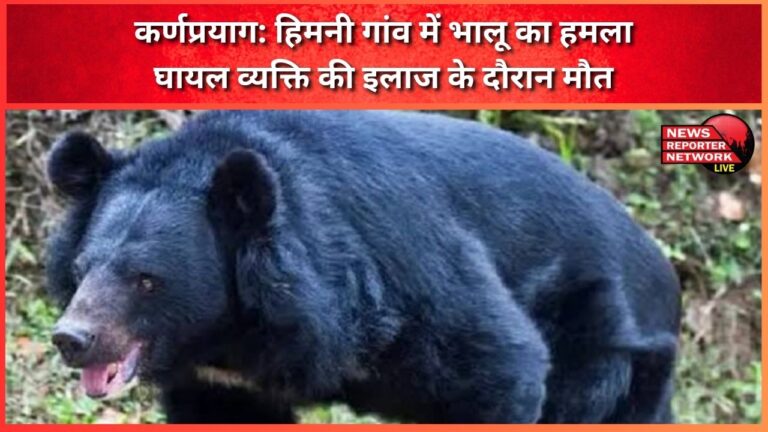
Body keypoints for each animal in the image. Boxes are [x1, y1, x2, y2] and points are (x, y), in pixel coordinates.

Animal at [45, 110, 681, 424]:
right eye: (82, 268)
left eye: (146, 279)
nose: (72, 339)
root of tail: (665, 274)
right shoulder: (221, 382)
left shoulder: (404, 274)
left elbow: (496, 363)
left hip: (603, 349)